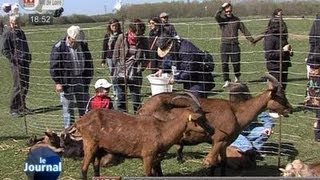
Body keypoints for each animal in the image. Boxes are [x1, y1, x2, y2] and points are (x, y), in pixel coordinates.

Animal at [72, 92, 206, 179]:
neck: (162, 130)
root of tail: (79, 122)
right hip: (90, 145)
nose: (209, 131)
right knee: (83, 168)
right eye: (200, 119)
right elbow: (148, 175)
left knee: (96, 167)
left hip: (99, 148)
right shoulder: (147, 156)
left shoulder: (156, 158)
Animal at [138, 73, 292, 174]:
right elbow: (210, 162)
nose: (290, 109)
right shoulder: (218, 139)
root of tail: (142, 109)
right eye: (280, 96)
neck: (236, 112)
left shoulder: (224, 143)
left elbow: (221, 162)